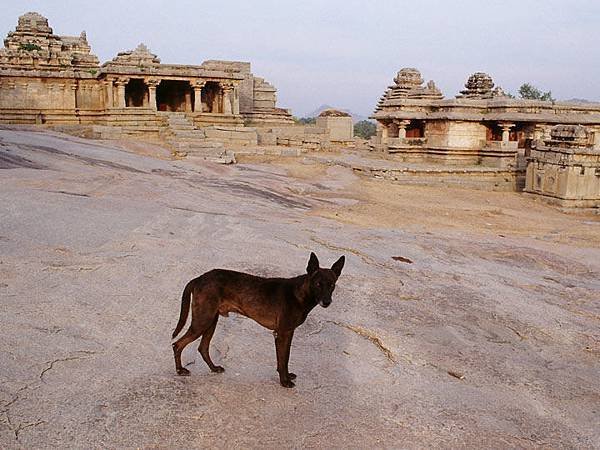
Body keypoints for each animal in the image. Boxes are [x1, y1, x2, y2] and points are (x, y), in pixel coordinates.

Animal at [171, 253, 344, 386]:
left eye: (332, 285)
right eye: (318, 284)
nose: (327, 302)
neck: (299, 293)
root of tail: (199, 278)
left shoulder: (288, 333)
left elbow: (285, 358)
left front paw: (286, 376)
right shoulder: (282, 333)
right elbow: (283, 359)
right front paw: (284, 381)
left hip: (210, 321)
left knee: (202, 348)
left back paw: (213, 368)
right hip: (202, 321)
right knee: (177, 344)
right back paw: (180, 370)